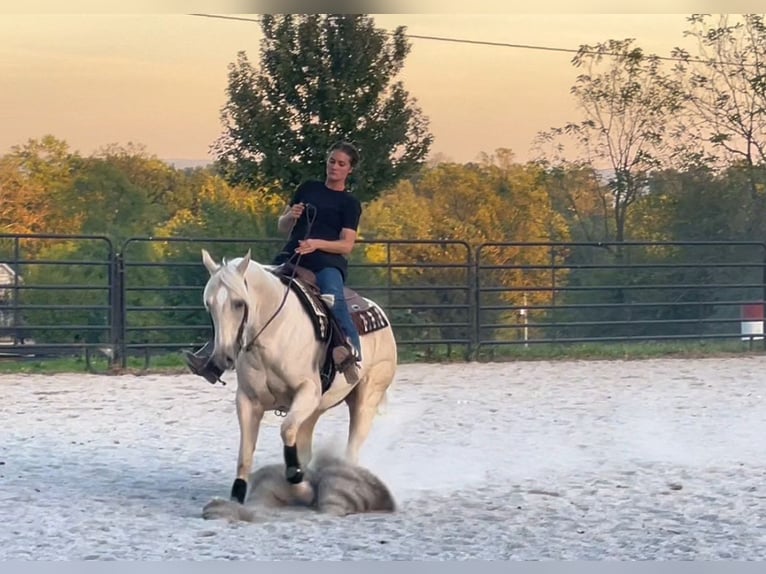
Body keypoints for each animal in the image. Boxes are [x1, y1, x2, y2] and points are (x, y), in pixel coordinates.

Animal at [198, 248, 398, 505]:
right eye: (209, 304)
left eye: (239, 303)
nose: (223, 357)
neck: (273, 332)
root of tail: (381, 315)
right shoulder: (247, 400)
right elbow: (245, 453)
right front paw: (237, 495)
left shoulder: (307, 392)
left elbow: (287, 430)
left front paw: (297, 480)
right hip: (317, 408)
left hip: (366, 398)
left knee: (352, 448)